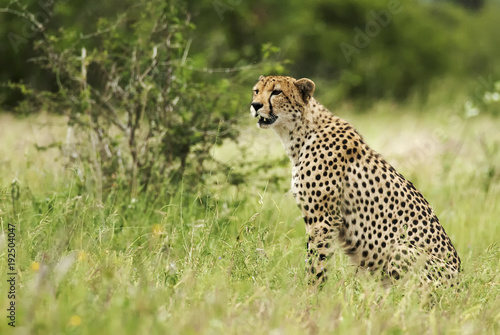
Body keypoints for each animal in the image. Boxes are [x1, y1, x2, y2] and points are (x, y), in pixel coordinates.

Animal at [250, 75, 460, 284]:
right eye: (256, 91)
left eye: (277, 92)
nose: (255, 105)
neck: (300, 132)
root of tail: (462, 282)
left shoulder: (323, 218)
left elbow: (316, 262)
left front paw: (310, 290)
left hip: (402, 250)